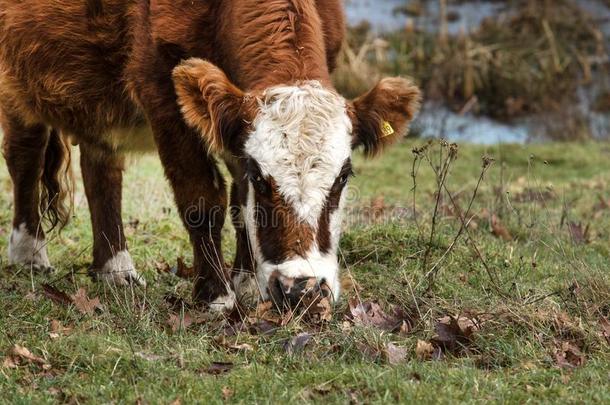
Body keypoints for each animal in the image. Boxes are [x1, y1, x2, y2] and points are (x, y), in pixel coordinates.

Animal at [0, 0, 418, 310]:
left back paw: (115, 268)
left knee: (101, 166)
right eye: (260, 176)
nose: (301, 288)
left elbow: (237, 205)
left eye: (343, 176)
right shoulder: (163, 93)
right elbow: (202, 198)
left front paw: (246, 281)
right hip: (16, 83)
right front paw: (216, 294)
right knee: (26, 156)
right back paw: (29, 253)